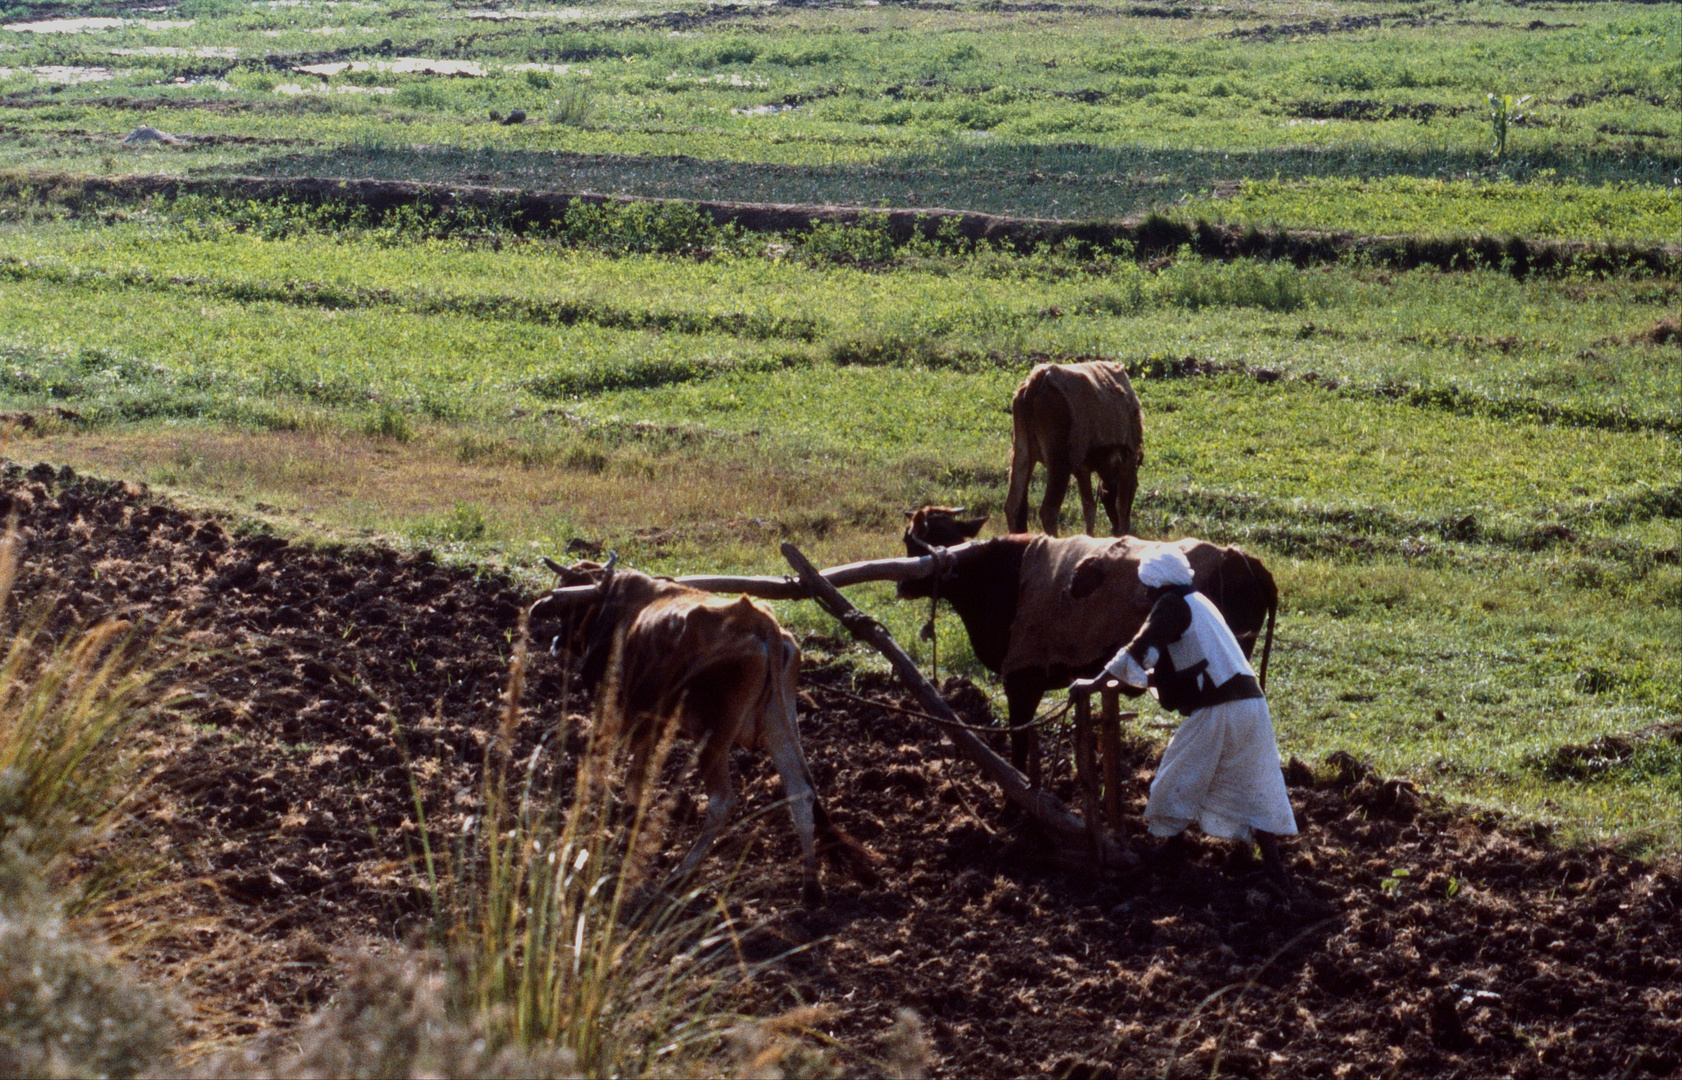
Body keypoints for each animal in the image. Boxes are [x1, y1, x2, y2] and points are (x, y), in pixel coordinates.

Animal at [531, 558, 881, 894]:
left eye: (567, 602)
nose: (555, 642)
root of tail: (759, 620)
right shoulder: (651, 727)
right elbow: (637, 781)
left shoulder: (624, 717)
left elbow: (627, 781)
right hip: (780, 728)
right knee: (801, 794)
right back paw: (810, 885)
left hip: (712, 740)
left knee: (721, 802)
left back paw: (680, 872)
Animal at [901, 504, 1264, 780]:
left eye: (920, 541)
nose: (902, 585)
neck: (994, 576)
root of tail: (1242, 558)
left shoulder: (1021, 681)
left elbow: (1019, 744)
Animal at [1002, 356, 1150, 534]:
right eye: (1135, 486)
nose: (1115, 529)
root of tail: (1035, 382)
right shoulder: (1126, 461)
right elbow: (1120, 506)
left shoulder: (1082, 469)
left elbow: (1089, 508)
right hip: (1059, 464)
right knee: (1048, 511)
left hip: (1022, 454)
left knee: (1012, 506)